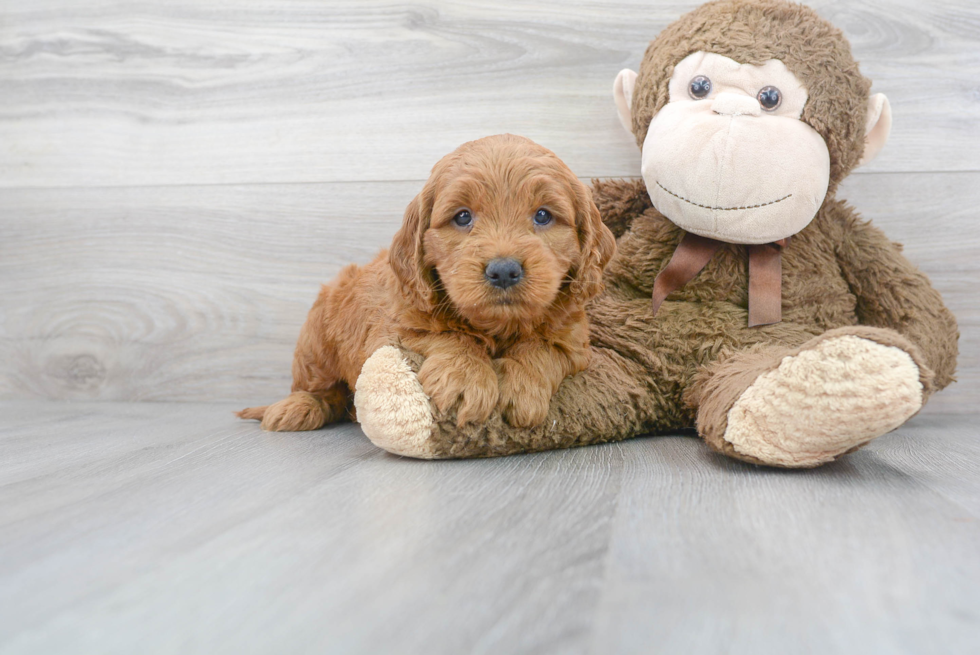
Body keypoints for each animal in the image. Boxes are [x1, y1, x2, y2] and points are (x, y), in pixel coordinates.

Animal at [239, 133, 612, 430]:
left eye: (543, 215)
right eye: (462, 217)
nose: (504, 270)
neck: (497, 326)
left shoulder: (575, 342)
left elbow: (543, 347)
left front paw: (521, 387)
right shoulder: (393, 327)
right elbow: (448, 334)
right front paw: (465, 378)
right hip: (315, 340)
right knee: (322, 389)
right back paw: (298, 407)